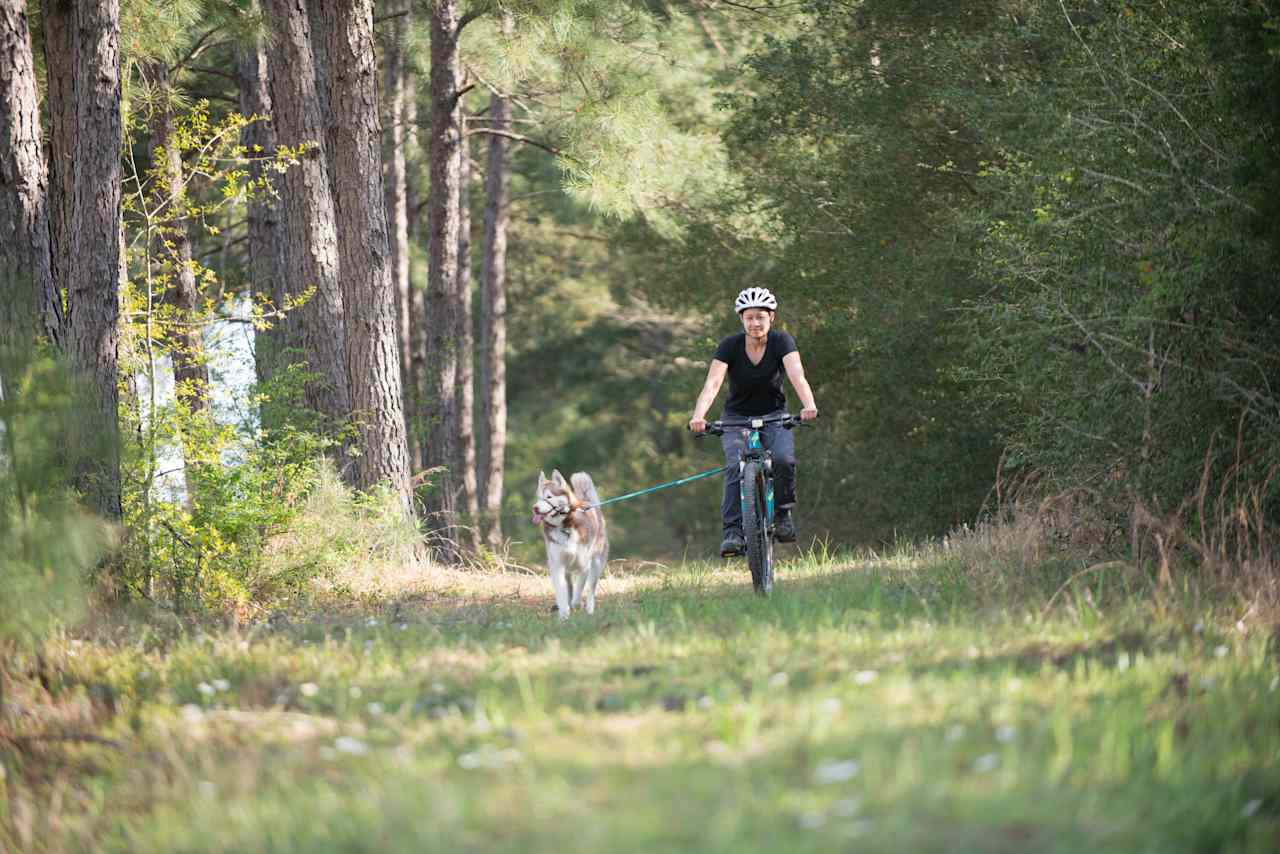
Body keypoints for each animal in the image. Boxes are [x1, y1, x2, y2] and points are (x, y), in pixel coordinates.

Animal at [529, 471, 609, 617]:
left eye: (549, 496)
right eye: (538, 498)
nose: (535, 508)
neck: (565, 527)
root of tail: (589, 502)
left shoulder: (584, 566)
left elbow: (579, 592)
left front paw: (576, 604)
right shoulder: (557, 565)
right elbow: (562, 592)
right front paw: (563, 614)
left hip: (596, 564)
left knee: (591, 589)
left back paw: (589, 609)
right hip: (567, 571)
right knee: (569, 587)